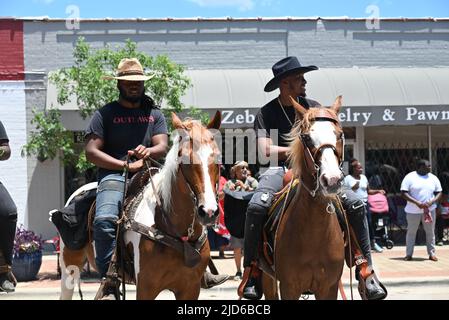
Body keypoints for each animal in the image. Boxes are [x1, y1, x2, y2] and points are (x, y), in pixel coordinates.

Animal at [57, 111, 222, 298]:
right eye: (184, 157)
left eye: (217, 156)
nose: (208, 211)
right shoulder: (146, 287)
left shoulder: (190, 288)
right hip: (69, 268)